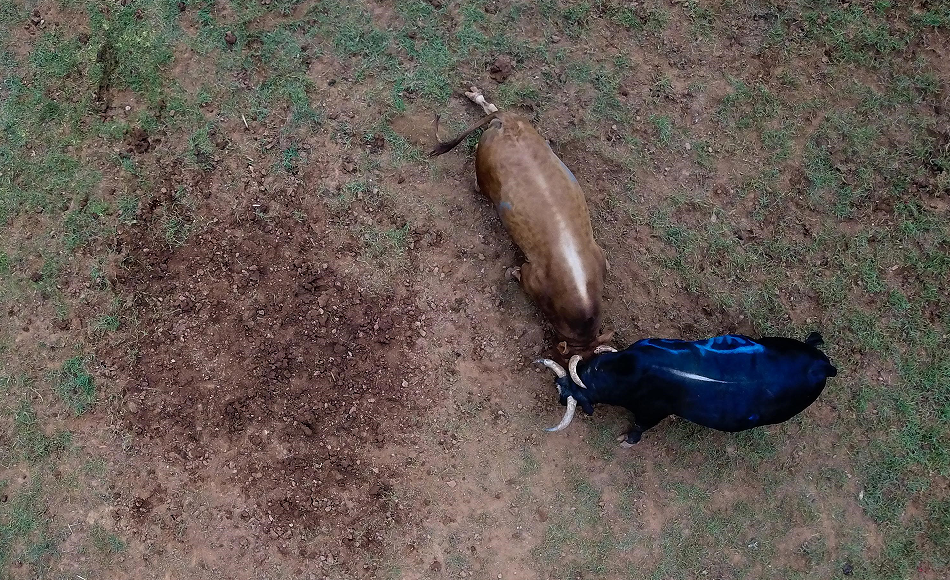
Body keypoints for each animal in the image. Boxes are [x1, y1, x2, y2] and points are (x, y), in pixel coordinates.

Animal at [430, 88, 608, 356]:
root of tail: (508, 123)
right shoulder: (532, 277)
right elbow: (519, 274)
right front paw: (511, 272)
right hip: (483, 166)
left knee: (491, 108)